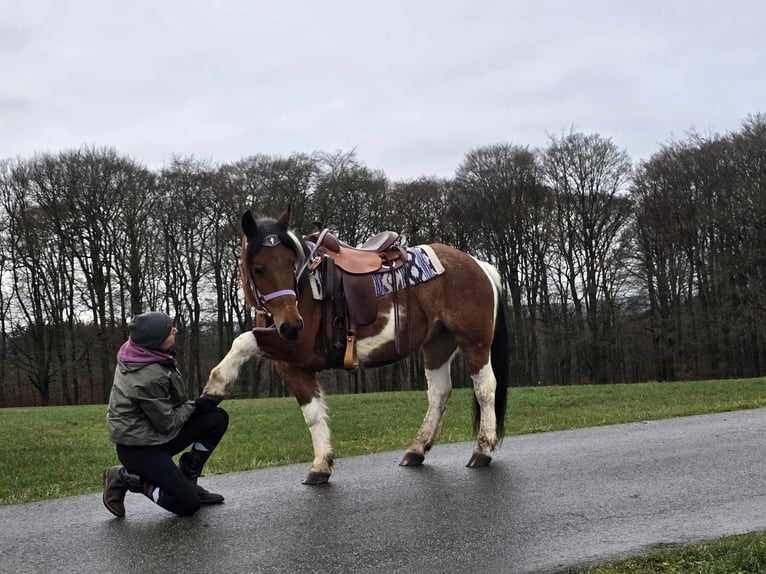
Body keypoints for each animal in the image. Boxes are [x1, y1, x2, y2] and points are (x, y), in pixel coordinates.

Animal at [202, 208, 510, 486]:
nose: (291, 325)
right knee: (438, 393)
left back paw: (482, 450)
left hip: (474, 341)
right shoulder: (292, 366)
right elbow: (313, 415)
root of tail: (478, 264)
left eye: (290, 263)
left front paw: (214, 388)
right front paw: (320, 465)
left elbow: (243, 340)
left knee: (485, 389)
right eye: (258, 268)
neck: (307, 289)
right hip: (437, 344)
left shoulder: (297, 349)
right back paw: (417, 449)